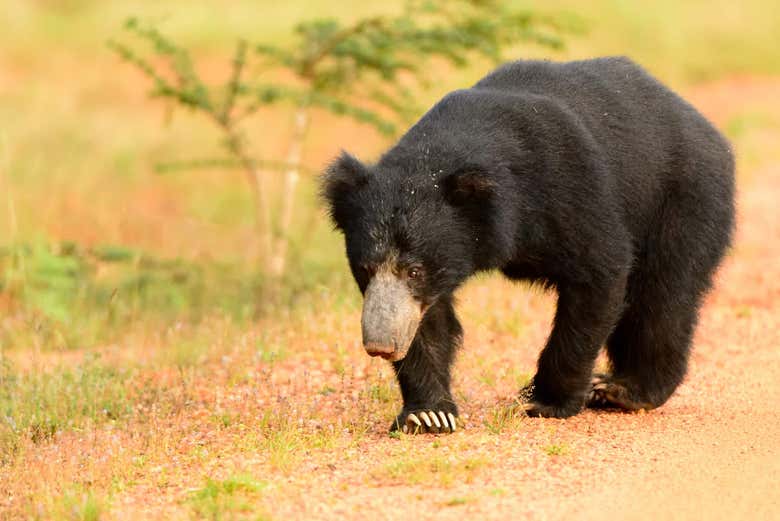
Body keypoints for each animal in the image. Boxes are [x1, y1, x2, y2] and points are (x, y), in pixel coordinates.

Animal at [321, 56, 735, 434]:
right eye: (365, 269)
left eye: (414, 270)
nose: (380, 344)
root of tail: (704, 126)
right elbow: (429, 321)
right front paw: (428, 414)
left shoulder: (567, 187)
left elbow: (600, 269)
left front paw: (546, 401)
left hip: (683, 198)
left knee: (662, 296)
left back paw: (625, 389)